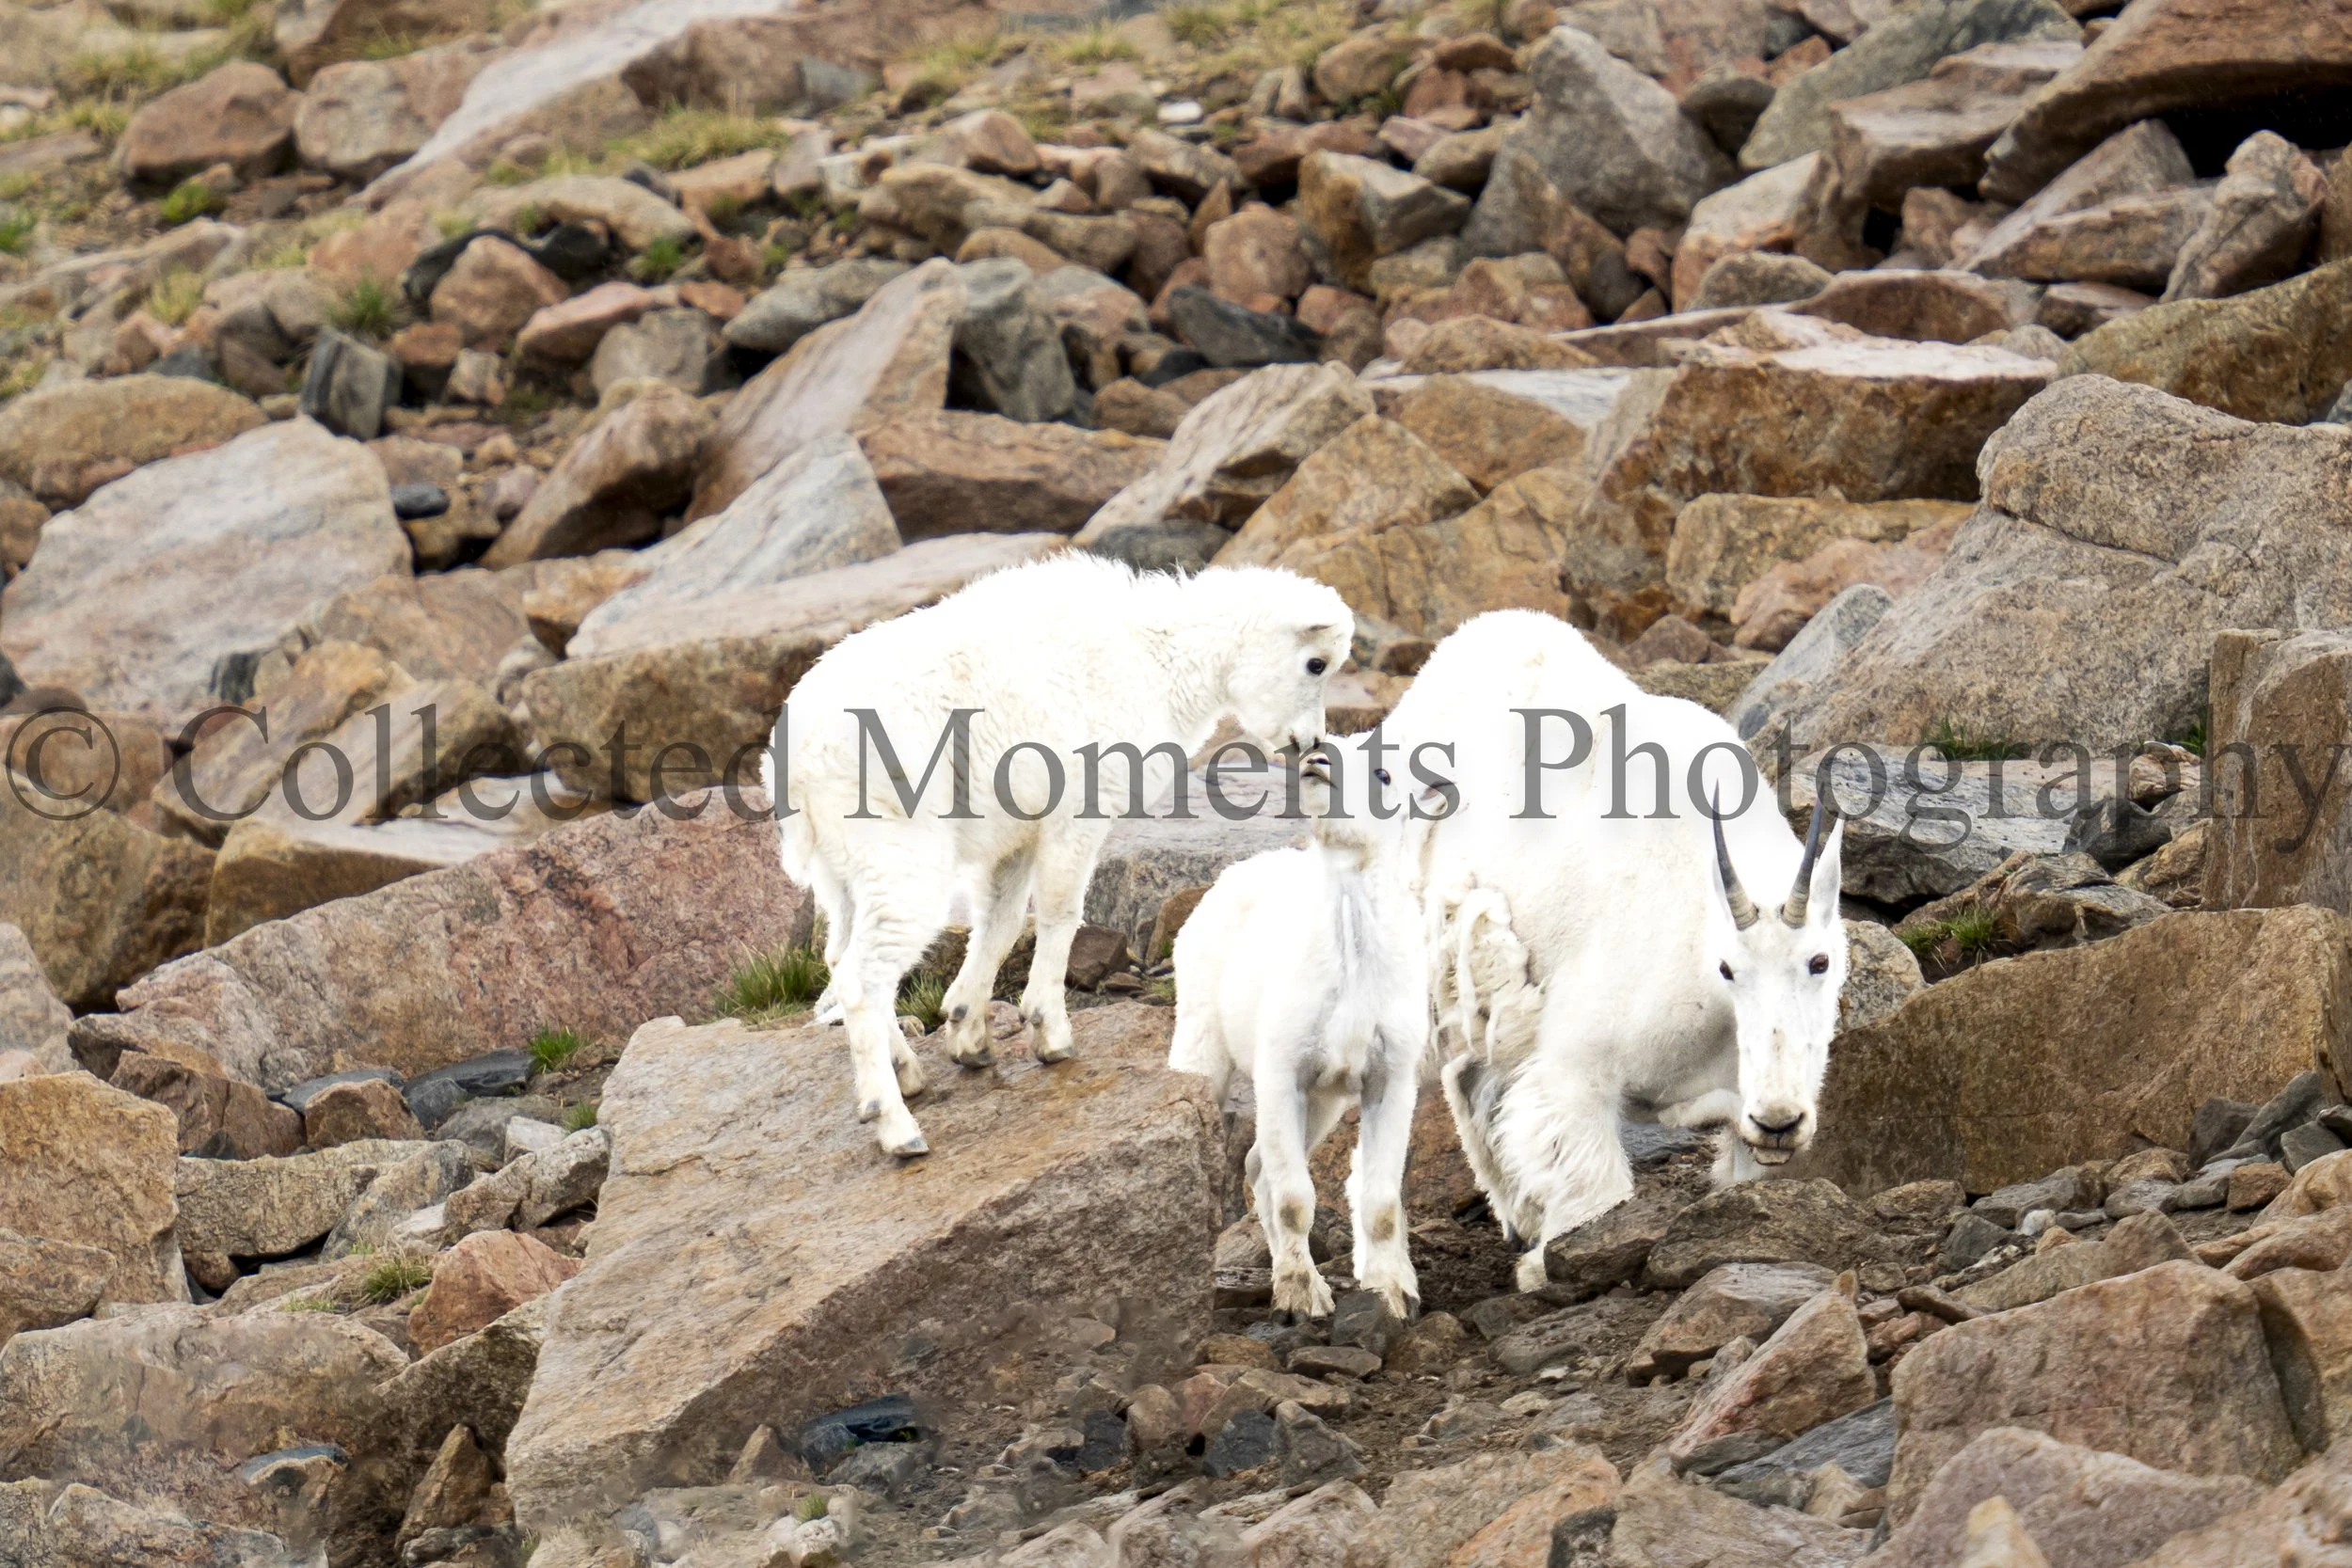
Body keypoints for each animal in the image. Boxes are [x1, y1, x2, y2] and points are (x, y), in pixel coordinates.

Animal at [773, 554, 1352, 1157]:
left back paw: (906, 1070)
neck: (1158, 663)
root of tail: (796, 758)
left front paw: (968, 1035)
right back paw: (895, 1124)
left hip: (844, 871)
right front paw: (1050, 1033)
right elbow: (1059, 913)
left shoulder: (1016, 835)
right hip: (899, 853)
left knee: (840, 957)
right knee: (862, 978)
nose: (1310, 744)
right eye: (1316, 663)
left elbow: (1000, 923)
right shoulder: (1077, 812)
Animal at [1168, 744, 1441, 1319]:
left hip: (1323, 1102)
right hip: (1203, 1037)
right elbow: (1296, 1198)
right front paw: (1300, 1300)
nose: (1317, 761)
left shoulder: (1390, 1077)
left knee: (1255, 1165)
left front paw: (1392, 1294)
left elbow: (1381, 1203)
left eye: (1383, 772)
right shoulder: (1280, 1069)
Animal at [1382, 610, 1847, 1291]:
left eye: (1820, 961)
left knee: (1468, 1078)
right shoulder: (1576, 1072)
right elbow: (1594, 1195)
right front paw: (1543, 1270)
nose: (1781, 1120)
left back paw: (1516, 1216)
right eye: (1728, 968)